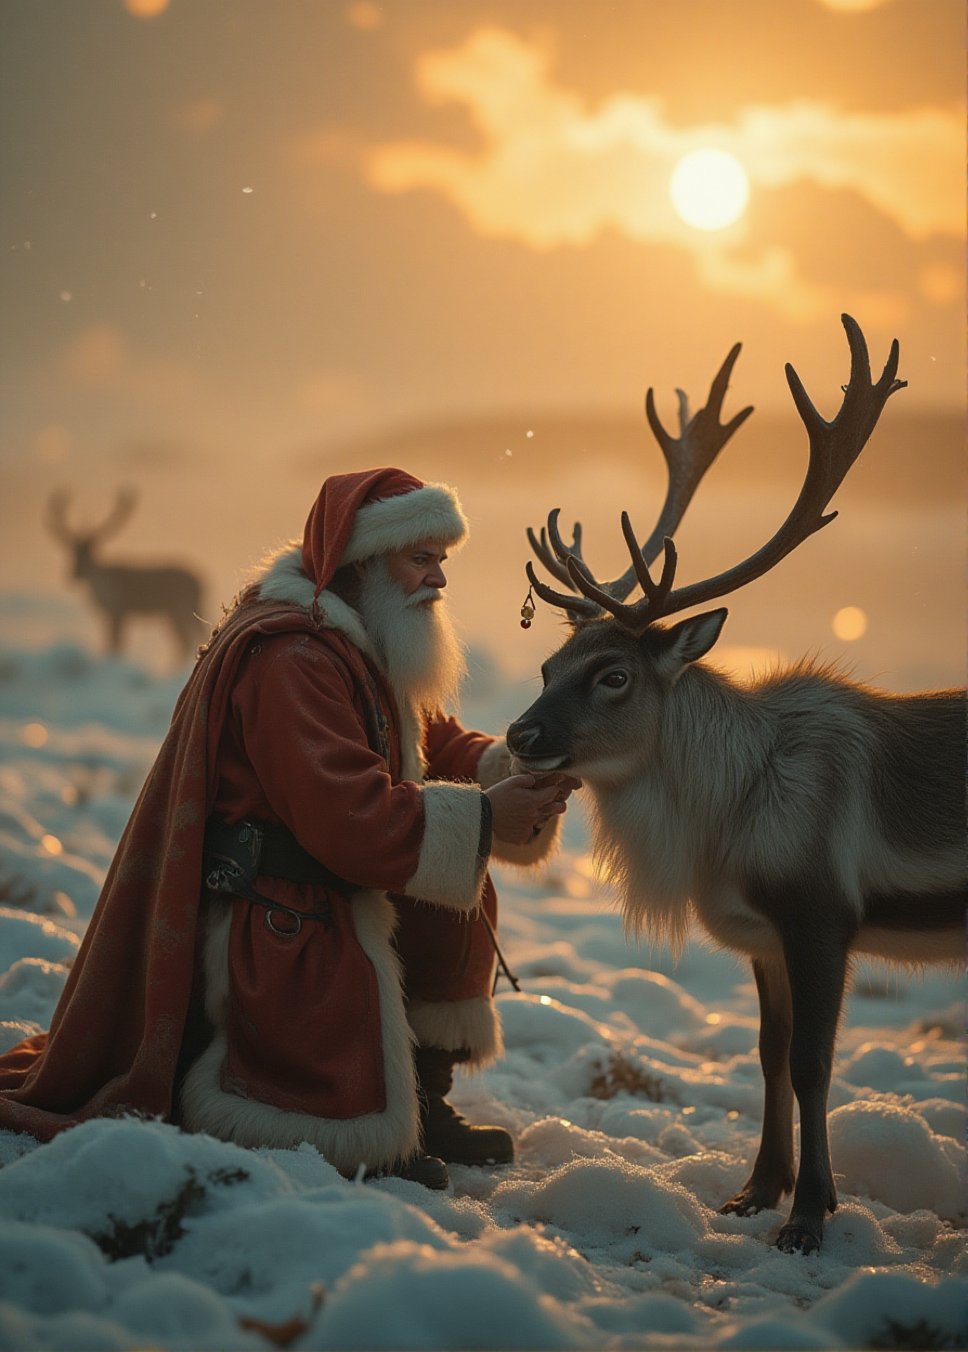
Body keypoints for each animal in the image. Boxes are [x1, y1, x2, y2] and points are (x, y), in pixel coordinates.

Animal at [45, 487, 206, 662]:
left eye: (90, 551)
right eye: (71, 551)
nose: (74, 573)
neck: (101, 586)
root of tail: (202, 583)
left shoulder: (120, 608)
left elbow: (116, 643)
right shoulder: (109, 613)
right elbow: (110, 643)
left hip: (181, 608)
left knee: (188, 638)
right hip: (173, 613)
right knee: (184, 640)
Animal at [506, 315, 965, 1255]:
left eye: (613, 675)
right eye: (548, 664)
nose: (519, 736)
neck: (723, 826)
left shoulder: (823, 915)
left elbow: (813, 1063)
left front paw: (810, 1213)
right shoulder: (762, 938)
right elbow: (767, 1053)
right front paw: (758, 1188)